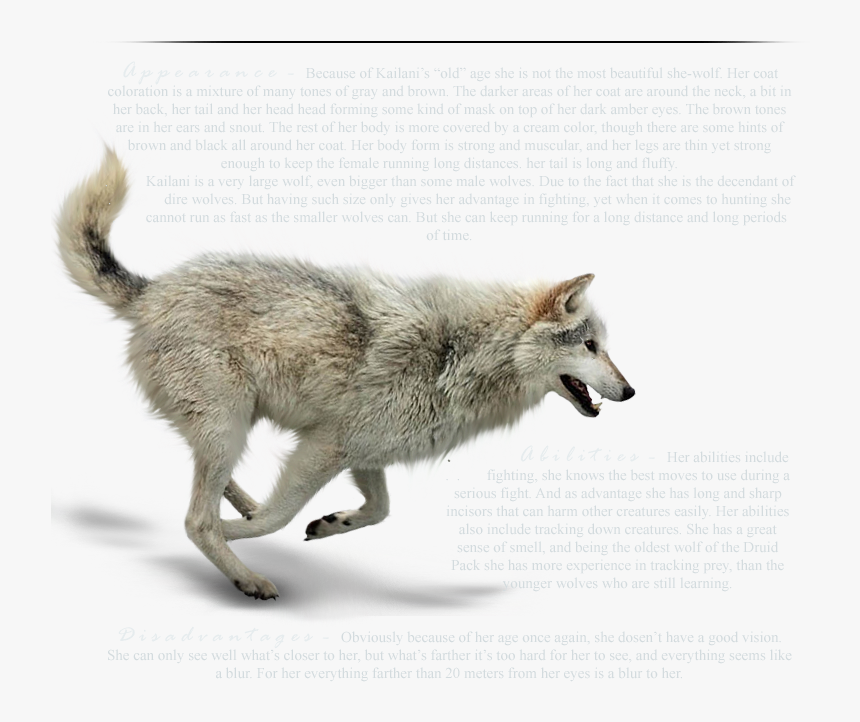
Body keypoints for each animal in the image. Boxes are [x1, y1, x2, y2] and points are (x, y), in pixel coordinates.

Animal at [58, 148, 635, 600]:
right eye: (591, 346)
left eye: (606, 348)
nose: (631, 391)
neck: (462, 353)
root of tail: (152, 290)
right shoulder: (327, 445)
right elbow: (273, 519)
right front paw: (243, 535)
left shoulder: (365, 452)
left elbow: (378, 511)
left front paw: (328, 523)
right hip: (228, 425)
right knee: (195, 519)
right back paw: (246, 574)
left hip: (228, 428)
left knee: (212, 484)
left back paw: (241, 509)